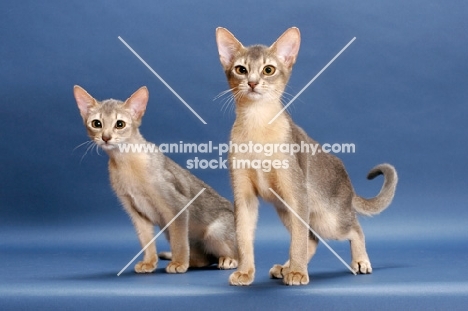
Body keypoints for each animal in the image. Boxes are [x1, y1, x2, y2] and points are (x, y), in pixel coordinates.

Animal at [75, 85, 239, 272]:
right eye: (97, 124)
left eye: (119, 124)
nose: (106, 137)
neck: (124, 162)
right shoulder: (135, 212)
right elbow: (146, 240)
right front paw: (149, 262)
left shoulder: (178, 207)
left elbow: (179, 242)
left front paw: (179, 263)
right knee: (204, 259)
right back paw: (190, 261)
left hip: (215, 231)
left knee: (238, 254)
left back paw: (227, 260)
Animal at [217, 28, 398, 286]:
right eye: (241, 69)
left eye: (268, 69)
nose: (252, 83)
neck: (256, 124)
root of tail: (348, 182)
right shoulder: (244, 195)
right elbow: (243, 237)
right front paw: (245, 272)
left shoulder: (296, 193)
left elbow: (298, 242)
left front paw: (298, 273)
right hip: (286, 210)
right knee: (312, 238)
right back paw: (285, 267)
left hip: (327, 219)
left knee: (353, 228)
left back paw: (359, 261)